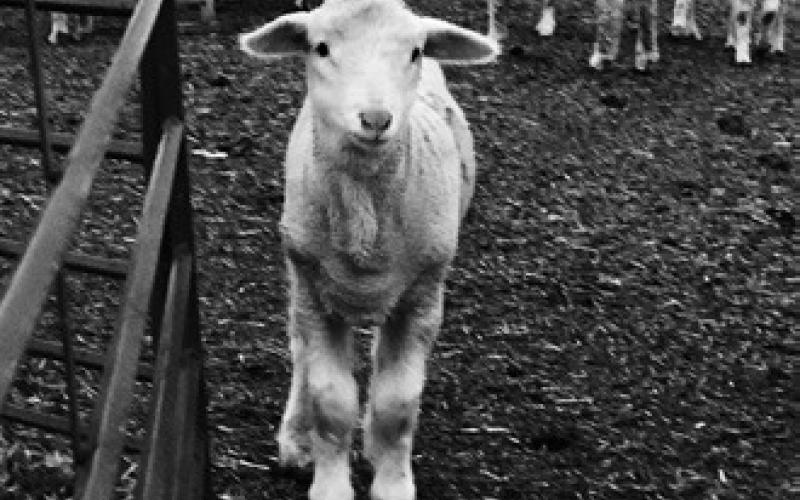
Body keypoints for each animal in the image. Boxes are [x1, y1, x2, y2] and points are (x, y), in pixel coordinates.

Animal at [239, 1, 499, 499]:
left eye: (414, 51)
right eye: (321, 47)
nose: (376, 119)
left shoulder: (422, 296)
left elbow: (397, 403)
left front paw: (392, 482)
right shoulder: (314, 293)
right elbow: (331, 402)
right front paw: (329, 485)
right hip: (299, 276)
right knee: (300, 352)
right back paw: (297, 438)